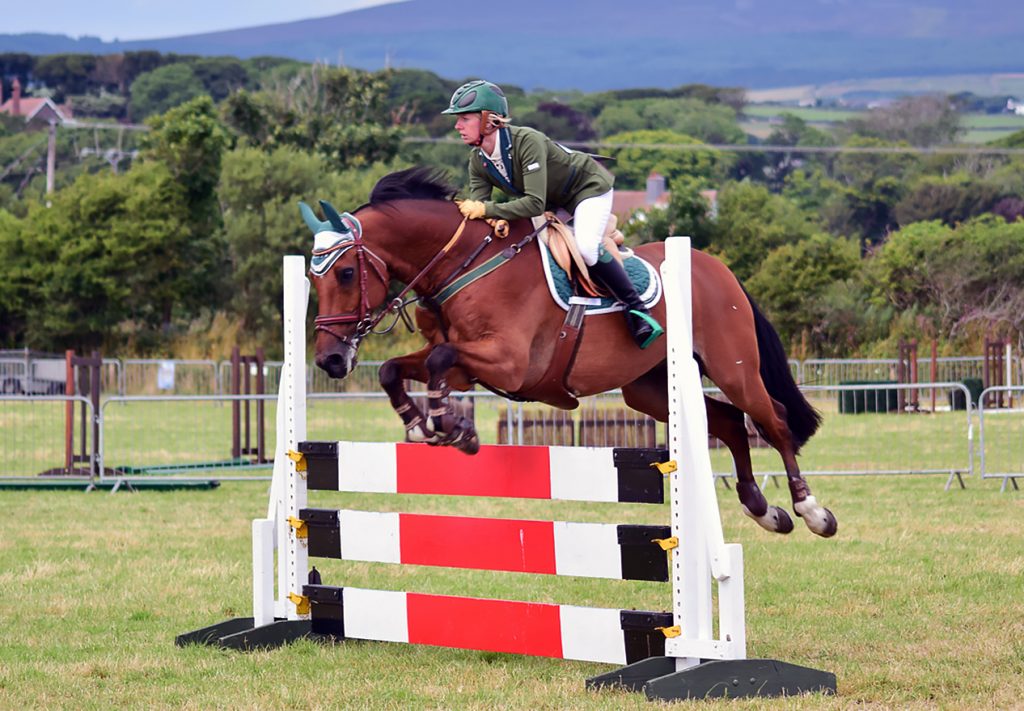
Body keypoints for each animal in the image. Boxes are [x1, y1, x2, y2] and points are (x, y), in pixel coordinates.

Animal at [299, 163, 835, 536]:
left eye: (345, 273)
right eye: (311, 277)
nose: (331, 360)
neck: (464, 263)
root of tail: (718, 269)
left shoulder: (510, 364)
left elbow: (436, 360)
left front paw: (451, 428)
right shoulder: (471, 366)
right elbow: (396, 369)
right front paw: (426, 425)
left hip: (733, 368)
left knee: (773, 420)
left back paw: (810, 511)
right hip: (648, 388)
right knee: (727, 422)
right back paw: (764, 510)